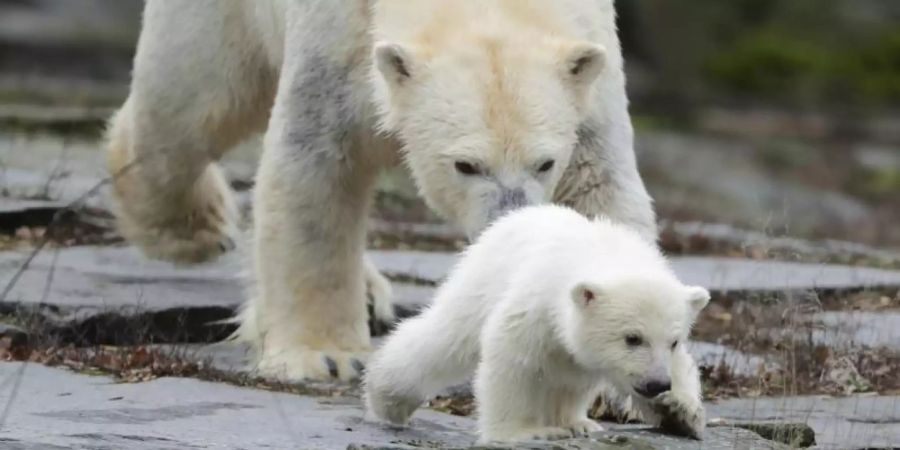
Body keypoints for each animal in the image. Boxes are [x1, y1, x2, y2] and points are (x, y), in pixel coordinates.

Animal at [105, 0, 652, 382]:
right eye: (466, 165)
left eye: (544, 162)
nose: (507, 225)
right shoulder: (338, 45)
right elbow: (316, 173)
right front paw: (324, 357)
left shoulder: (591, 82)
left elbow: (599, 191)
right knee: (190, 107)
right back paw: (196, 225)